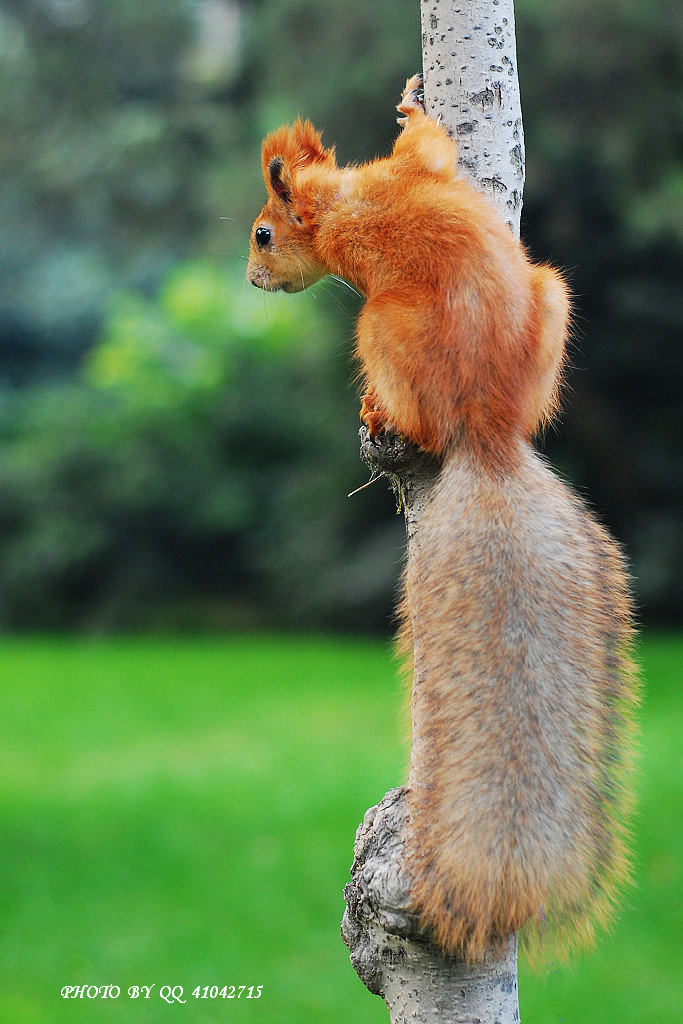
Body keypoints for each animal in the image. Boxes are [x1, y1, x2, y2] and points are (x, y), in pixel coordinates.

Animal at [248, 75, 638, 962]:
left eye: (261, 234)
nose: (252, 281)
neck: (339, 198)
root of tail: (485, 432)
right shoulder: (409, 175)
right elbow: (434, 153)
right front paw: (414, 102)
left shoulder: (383, 196)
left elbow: (423, 148)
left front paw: (410, 104)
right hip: (552, 297)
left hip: (378, 327)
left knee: (417, 418)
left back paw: (383, 411)